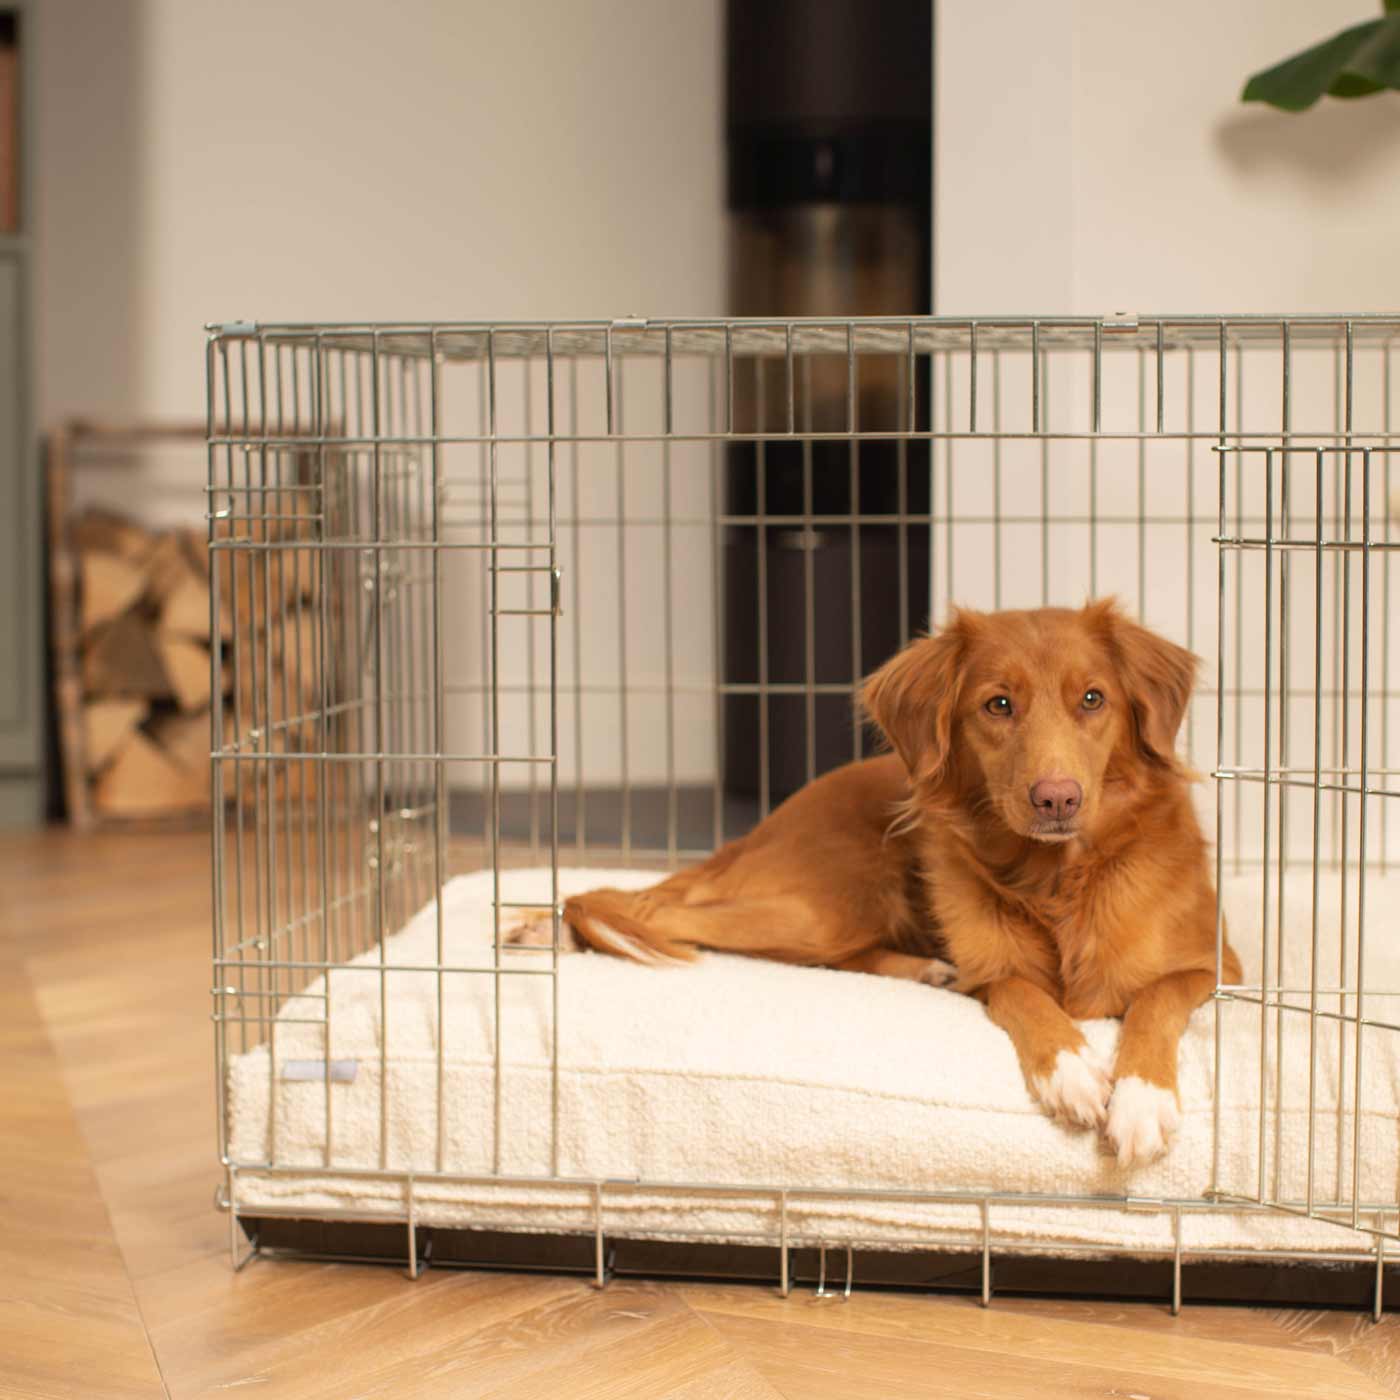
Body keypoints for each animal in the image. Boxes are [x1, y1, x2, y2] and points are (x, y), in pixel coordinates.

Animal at [520, 602, 1243, 1170]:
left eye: (1093, 699)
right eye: (998, 704)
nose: (1057, 798)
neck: (1056, 879)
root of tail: (766, 824)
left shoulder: (1218, 967)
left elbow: (1155, 998)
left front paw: (1141, 1101)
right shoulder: (994, 973)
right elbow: (1027, 996)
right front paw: (1070, 1071)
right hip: (831, 904)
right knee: (653, 908)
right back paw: (549, 931)